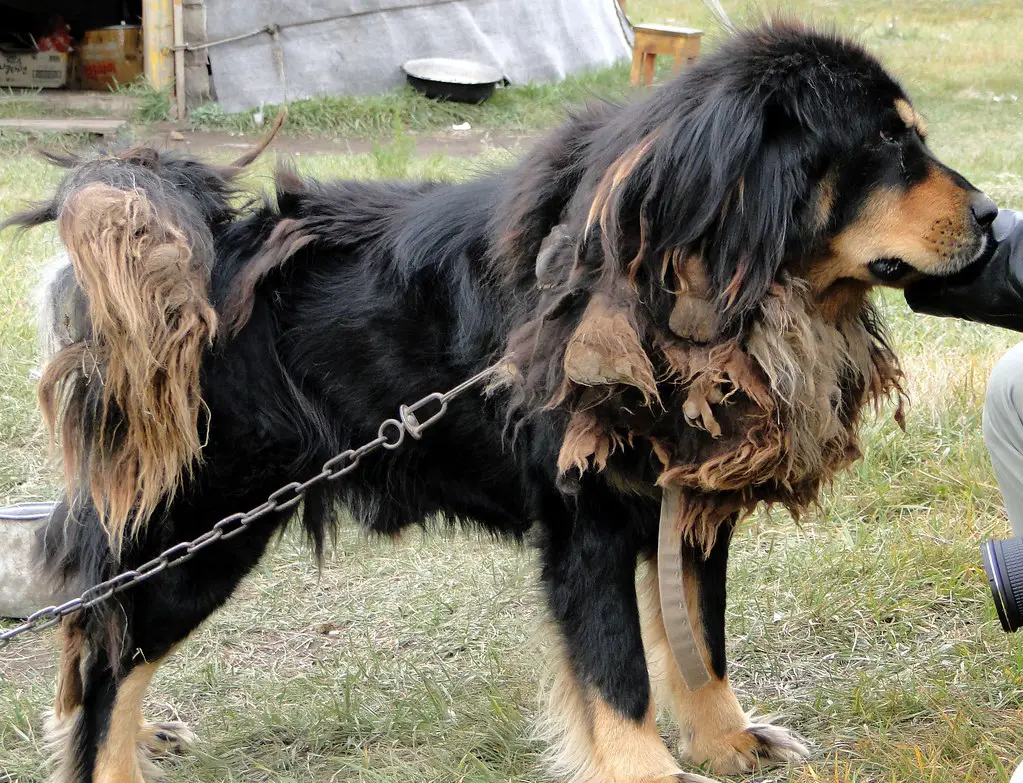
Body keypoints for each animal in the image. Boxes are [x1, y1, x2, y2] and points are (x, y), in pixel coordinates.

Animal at [6, 16, 998, 781]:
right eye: (887, 144)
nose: (993, 215)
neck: (677, 279)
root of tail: (198, 257)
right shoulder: (587, 521)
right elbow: (618, 673)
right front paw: (647, 768)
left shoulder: (684, 501)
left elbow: (700, 643)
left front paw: (727, 741)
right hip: (208, 526)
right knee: (105, 648)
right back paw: (109, 757)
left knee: (97, 632)